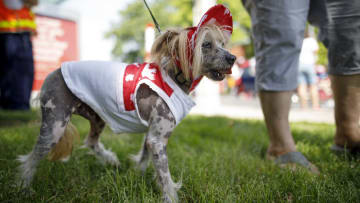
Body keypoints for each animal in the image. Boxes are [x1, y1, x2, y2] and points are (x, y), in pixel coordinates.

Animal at [16, 3, 236, 202]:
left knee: (91, 142)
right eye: (206, 45)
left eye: (222, 44)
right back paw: (24, 188)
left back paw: (111, 161)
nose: (233, 58)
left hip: (96, 117)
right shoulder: (158, 139)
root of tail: (52, 73)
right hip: (55, 123)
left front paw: (138, 175)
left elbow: (145, 158)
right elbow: (165, 176)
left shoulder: (151, 135)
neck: (175, 76)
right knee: (32, 157)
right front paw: (170, 197)